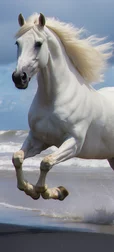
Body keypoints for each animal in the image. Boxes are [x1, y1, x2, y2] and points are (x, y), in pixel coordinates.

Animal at [12, 12, 113, 201]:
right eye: (17, 43)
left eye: (38, 44)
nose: (19, 77)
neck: (53, 99)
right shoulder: (38, 139)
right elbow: (17, 158)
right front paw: (29, 188)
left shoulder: (74, 143)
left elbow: (46, 162)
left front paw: (51, 191)